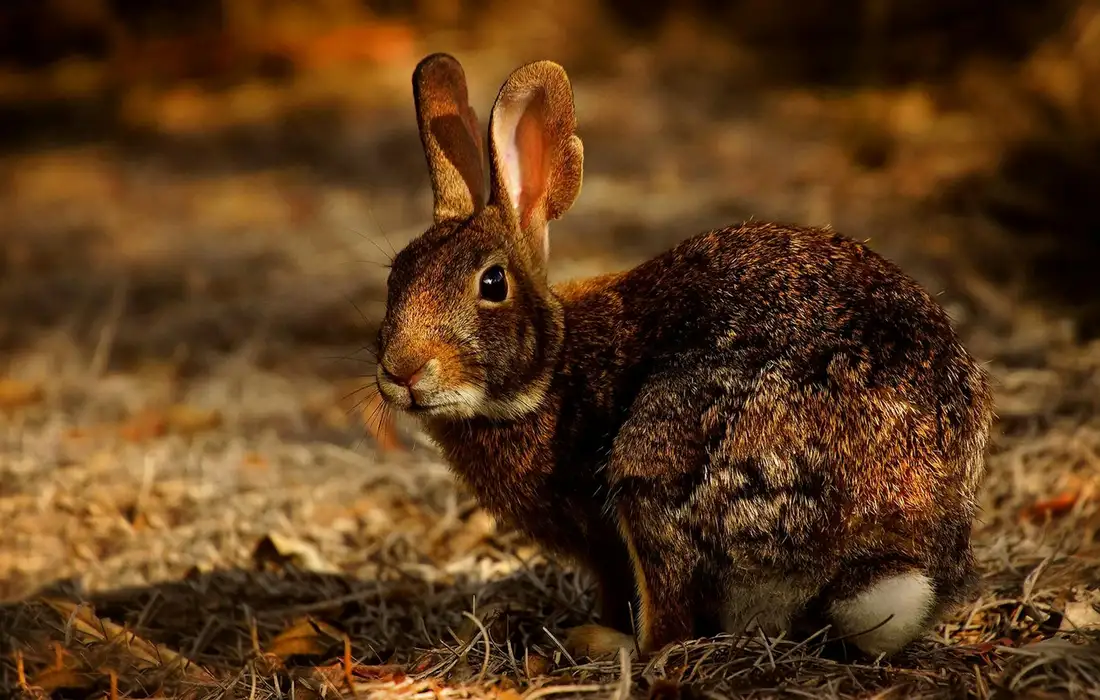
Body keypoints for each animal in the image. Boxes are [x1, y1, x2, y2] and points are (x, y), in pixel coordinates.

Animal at [373, 52, 995, 661]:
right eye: (396, 274)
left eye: (493, 283)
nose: (402, 370)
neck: (551, 370)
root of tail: (883, 542)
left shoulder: (606, 542)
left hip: (655, 465)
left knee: (668, 629)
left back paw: (600, 642)